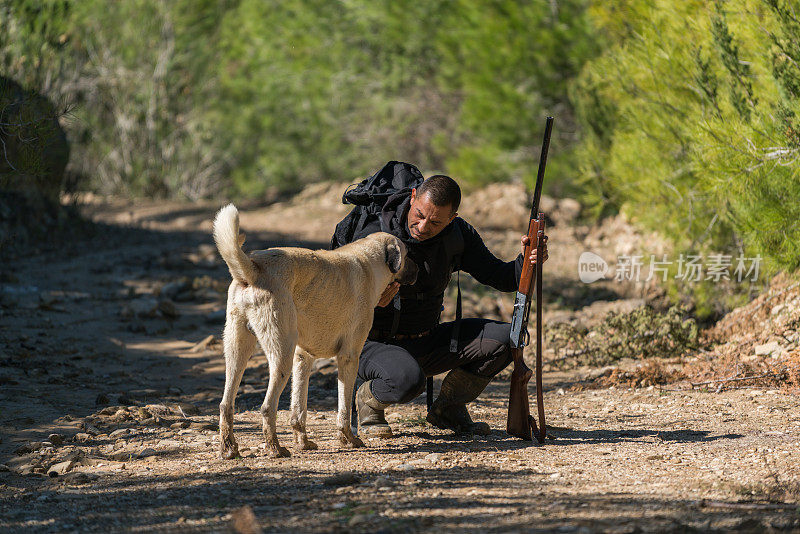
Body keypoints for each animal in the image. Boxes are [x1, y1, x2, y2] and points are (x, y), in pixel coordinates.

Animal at [211, 205, 418, 460]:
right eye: (407, 254)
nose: (419, 271)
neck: (368, 261)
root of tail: (254, 268)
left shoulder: (303, 358)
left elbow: (298, 410)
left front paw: (303, 441)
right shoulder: (348, 358)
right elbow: (344, 410)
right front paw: (348, 439)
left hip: (237, 352)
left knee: (225, 404)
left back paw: (229, 448)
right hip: (282, 356)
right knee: (267, 407)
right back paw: (274, 448)